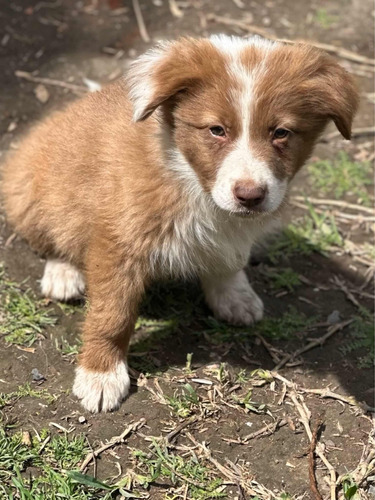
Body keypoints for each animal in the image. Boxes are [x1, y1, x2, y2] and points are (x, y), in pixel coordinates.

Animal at [3, 34, 362, 410]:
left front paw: (232, 294)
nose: (250, 195)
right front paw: (101, 374)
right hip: (33, 192)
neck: (189, 178)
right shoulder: (120, 242)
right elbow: (112, 314)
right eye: (216, 130)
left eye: (281, 132)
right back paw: (62, 272)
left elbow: (230, 259)